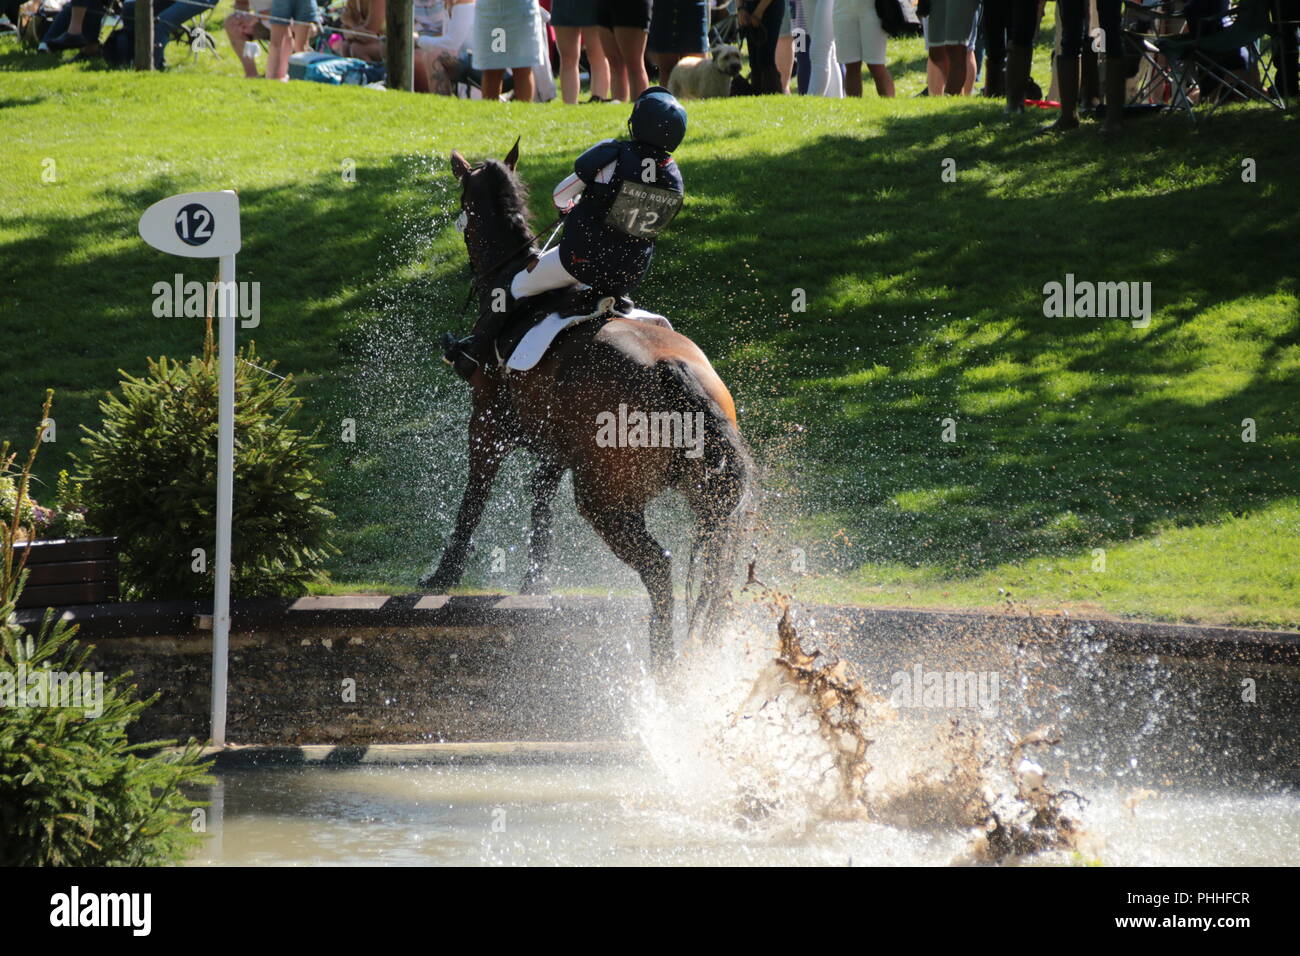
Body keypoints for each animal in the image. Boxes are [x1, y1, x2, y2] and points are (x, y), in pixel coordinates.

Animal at [421, 140, 759, 671]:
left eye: (463, 200)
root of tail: (671, 369)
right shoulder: (557, 445)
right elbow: (540, 502)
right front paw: (535, 582)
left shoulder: (487, 426)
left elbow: (473, 499)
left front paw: (444, 574)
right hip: (706, 496)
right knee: (714, 581)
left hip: (604, 499)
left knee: (658, 568)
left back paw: (663, 668)